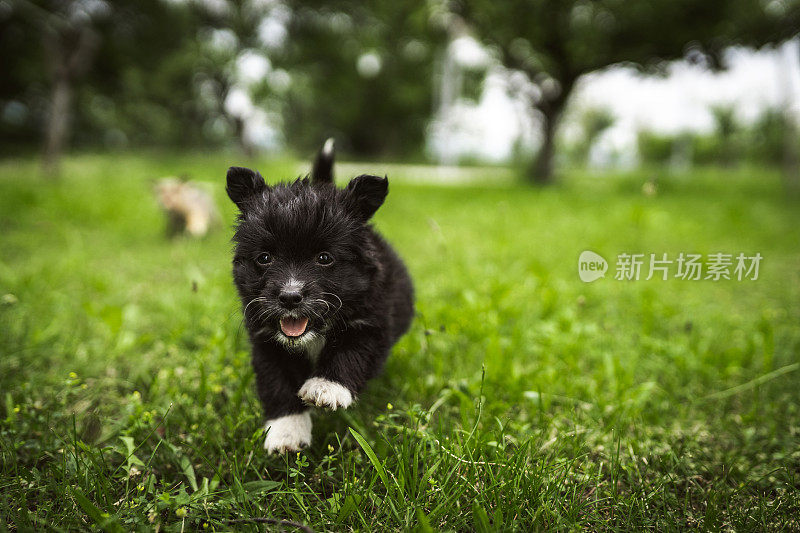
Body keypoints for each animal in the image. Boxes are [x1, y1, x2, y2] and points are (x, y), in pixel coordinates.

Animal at [225, 139, 412, 450]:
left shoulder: (372, 324)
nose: (290, 297)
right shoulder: (266, 342)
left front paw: (326, 387)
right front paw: (287, 432)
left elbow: (351, 353)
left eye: (324, 258)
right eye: (264, 258)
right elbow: (277, 383)